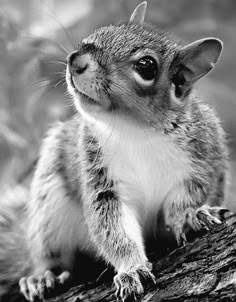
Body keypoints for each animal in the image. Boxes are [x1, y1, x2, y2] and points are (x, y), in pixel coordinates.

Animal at [0, 2, 230, 302]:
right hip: (48, 202)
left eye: (147, 66)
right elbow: (113, 228)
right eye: (102, 30)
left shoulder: (203, 158)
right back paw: (43, 276)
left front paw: (190, 216)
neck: (135, 130)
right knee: (50, 255)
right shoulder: (100, 176)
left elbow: (186, 198)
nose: (76, 60)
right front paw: (131, 269)